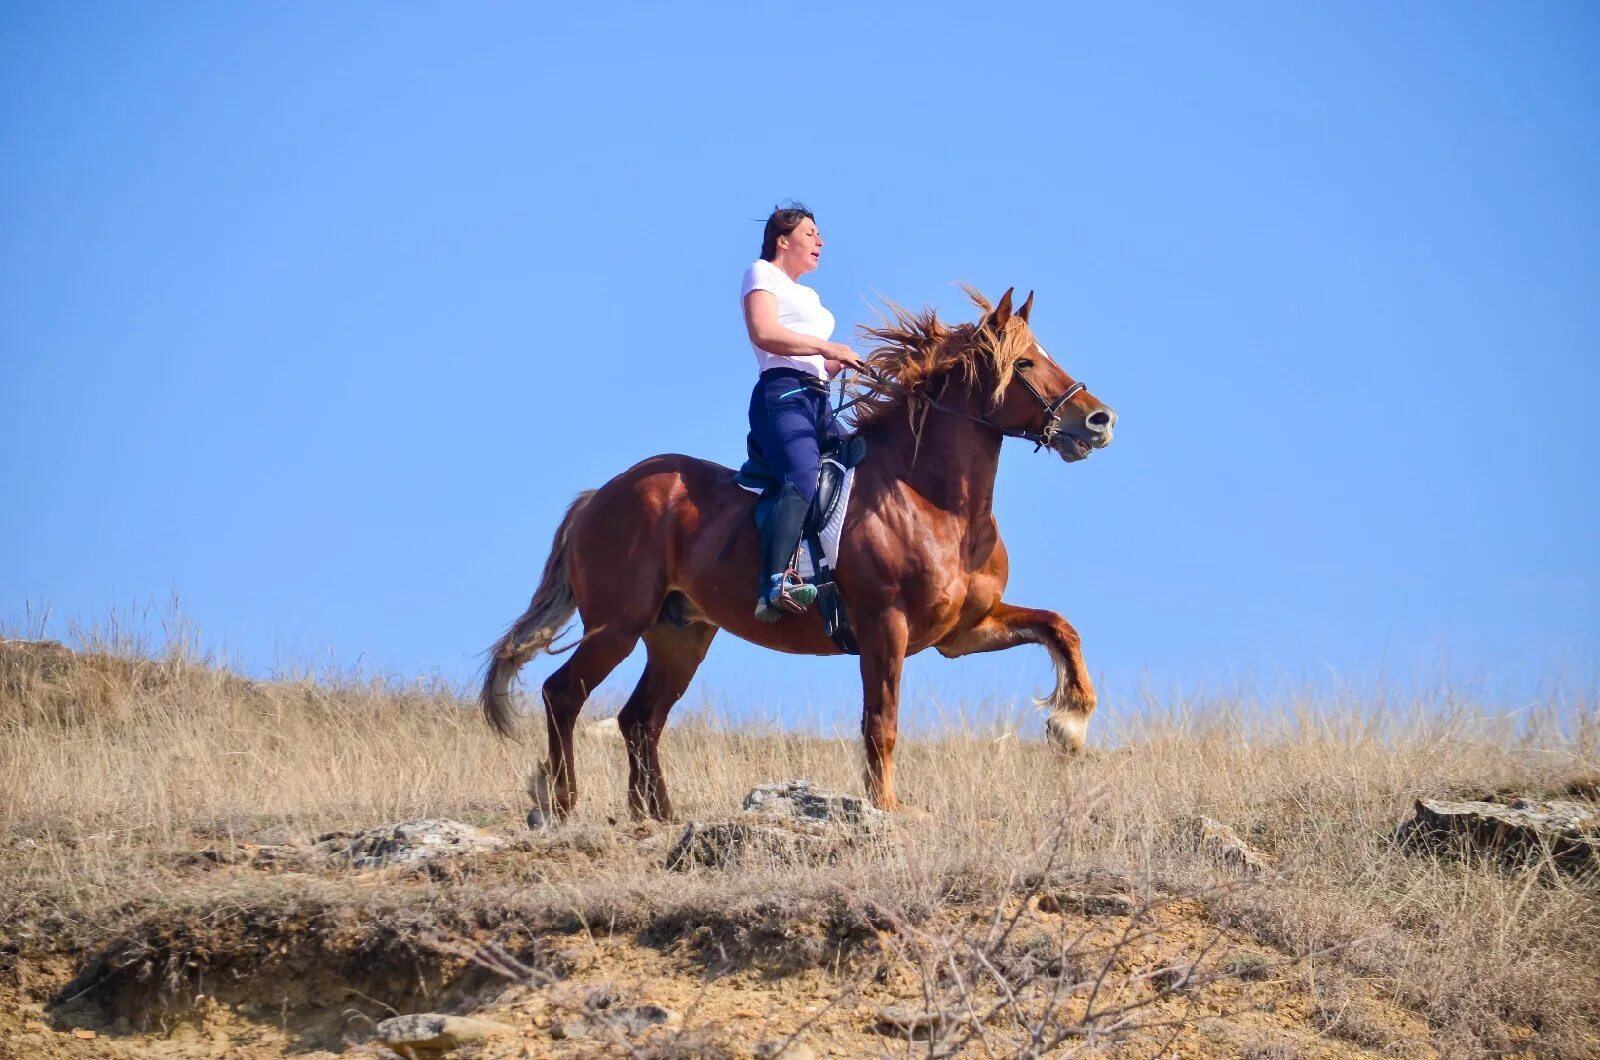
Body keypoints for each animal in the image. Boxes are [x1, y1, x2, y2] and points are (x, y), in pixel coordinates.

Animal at [480, 288, 1120, 819]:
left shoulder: (963, 632)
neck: (933, 501)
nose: (1099, 419)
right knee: (564, 694)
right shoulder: (886, 626)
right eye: (1025, 363)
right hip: (617, 625)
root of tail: (601, 495)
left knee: (641, 719)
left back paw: (656, 817)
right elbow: (882, 722)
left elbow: (1059, 626)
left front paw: (1070, 722)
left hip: (680, 635)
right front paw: (888, 807)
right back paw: (560, 800)